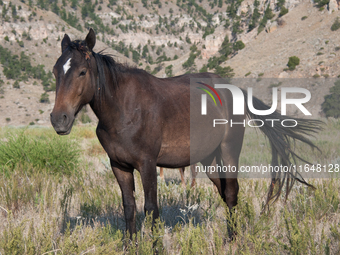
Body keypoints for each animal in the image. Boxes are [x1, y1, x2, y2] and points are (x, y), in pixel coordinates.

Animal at [49, 29, 322, 239]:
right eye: (55, 71)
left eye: (82, 72)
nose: (59, 119)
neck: (123, 109)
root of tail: (235, 90)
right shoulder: (120, 166)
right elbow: (129, 208)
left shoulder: (147, 165)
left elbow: (151, 209)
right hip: (209, 160)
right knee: (224, 192)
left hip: (229, 151)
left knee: (232, 193)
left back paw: (233, 240)